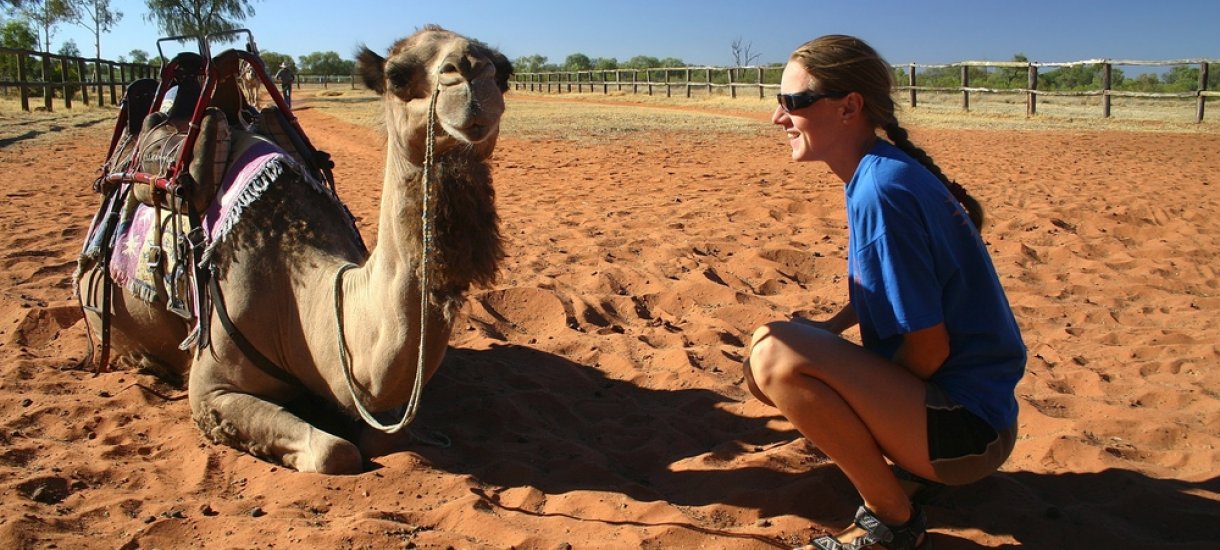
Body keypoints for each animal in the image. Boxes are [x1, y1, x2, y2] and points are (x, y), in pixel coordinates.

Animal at [72, 26, 509, 473]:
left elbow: (382, 435)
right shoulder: (212, 388)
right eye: (397, 75)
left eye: (504, 72)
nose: (471, 72)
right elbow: (335, 451)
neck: (300, 293)